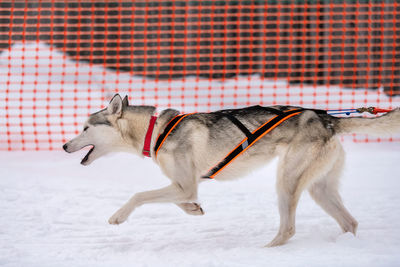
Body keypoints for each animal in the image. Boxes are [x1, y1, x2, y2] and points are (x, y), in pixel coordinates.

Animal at [63, 94, 400, 247]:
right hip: (319, 188)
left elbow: (139, 195)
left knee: (288, 228)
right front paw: (193, 209)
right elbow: (181, 201)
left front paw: (118, 216)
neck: (154, 131)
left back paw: (267, 251)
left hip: (287, 181)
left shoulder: (185, 184)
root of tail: (328, 119)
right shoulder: (184, 185)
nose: (65, 146)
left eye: (85, 128)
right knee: (350, 222)